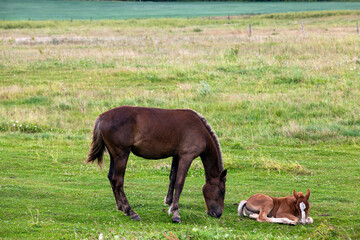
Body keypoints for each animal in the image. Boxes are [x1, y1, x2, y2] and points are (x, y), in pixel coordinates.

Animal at [86, 106, 226, 222]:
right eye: (221, 191)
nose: (218, 214)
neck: (200, 129)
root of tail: (102, 117)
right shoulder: (186, 157)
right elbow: (180, 183)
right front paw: (175, 213)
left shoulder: (177, 155)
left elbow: (173, 178)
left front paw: (169, 203)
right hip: (122, 154)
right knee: (118, 180)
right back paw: (130, 211)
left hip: (114, 155)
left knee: (111, 177)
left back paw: (121, 207)